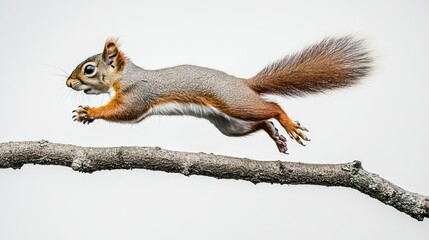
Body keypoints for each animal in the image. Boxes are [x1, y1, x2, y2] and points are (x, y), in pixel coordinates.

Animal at [66, 36, 372, 153]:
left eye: (89, 69)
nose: (68, 83)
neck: (125, 77)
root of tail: (245, 84)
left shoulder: (139, 94)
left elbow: (125, 111)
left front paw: (90, 112)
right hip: (231, 125)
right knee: (261, 121)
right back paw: (275, 135)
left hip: (235, 104)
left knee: (272, 107)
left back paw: (287, 125)